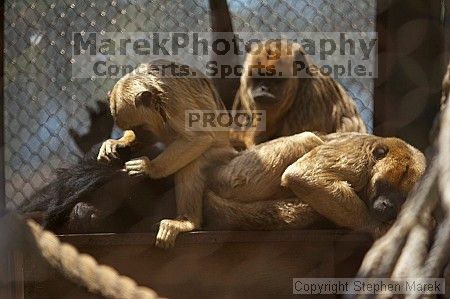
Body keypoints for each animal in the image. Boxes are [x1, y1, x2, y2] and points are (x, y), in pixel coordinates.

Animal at [96, 60, 234, 248]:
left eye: (140, 127)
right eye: (132, 129)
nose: (138, 136)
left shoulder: (173, 99)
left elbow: (199, 137)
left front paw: (148, 167)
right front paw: (117, 142)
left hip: (222, 155)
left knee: (193, 163)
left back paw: (186, 222)